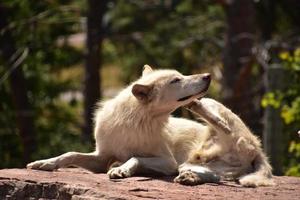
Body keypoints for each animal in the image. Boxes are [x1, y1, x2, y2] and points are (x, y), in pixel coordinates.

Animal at [27, 65, 274, 188]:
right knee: (215, 177)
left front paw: (121, 169)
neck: (135, 122)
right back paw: (190, 178)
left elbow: (135, 157)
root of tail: (260, 151)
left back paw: (197, 107)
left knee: (223, 125)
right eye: (176, 80)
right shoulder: (101, 157)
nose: (208, 75)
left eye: (181, 75)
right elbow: (69, 154)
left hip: (212, 115)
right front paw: (44, 163)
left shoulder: (167, 161)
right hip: (191, 164)